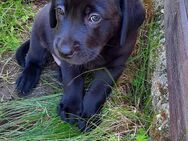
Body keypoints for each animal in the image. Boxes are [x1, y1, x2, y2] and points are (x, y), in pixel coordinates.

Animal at [15, 0, 145, 131]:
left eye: (95, 17)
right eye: (60, 10)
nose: (63, 51)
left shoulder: (115, 66)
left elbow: (98, 89)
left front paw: (88, 116)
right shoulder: (69, 62)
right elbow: (73, 81)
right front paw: (70, 108)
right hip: (38, 34)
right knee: (33, 59)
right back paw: (27, 78)